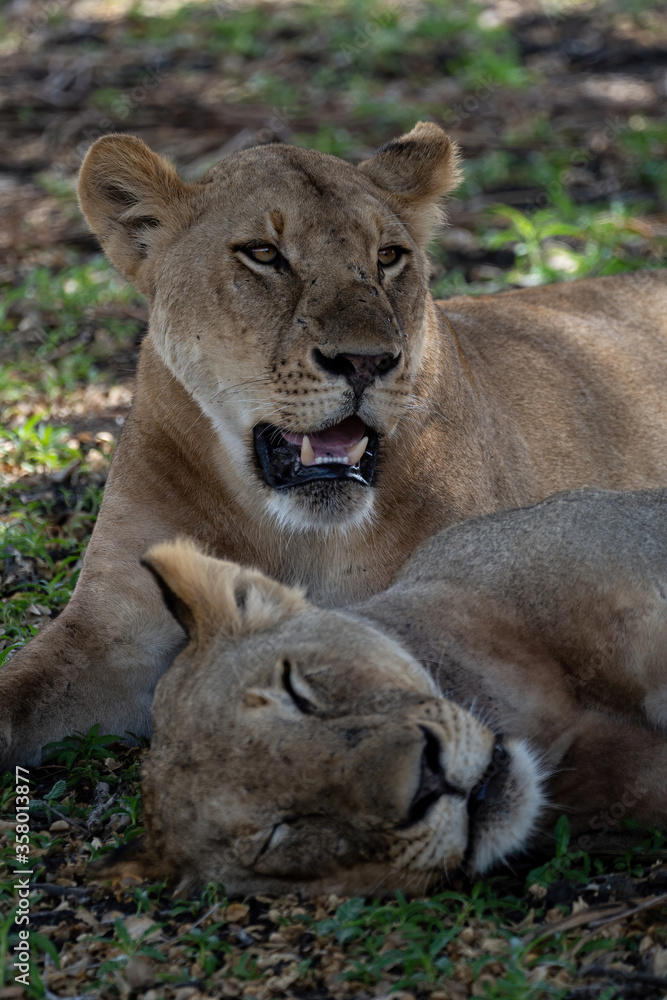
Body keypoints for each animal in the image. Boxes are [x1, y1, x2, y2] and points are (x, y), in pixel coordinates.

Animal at [1, 122, 667, 768]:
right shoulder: (109, 634)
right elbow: (17, 691)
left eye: (388, 256)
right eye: (264, 254)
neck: (291, 533)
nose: (366, 361)